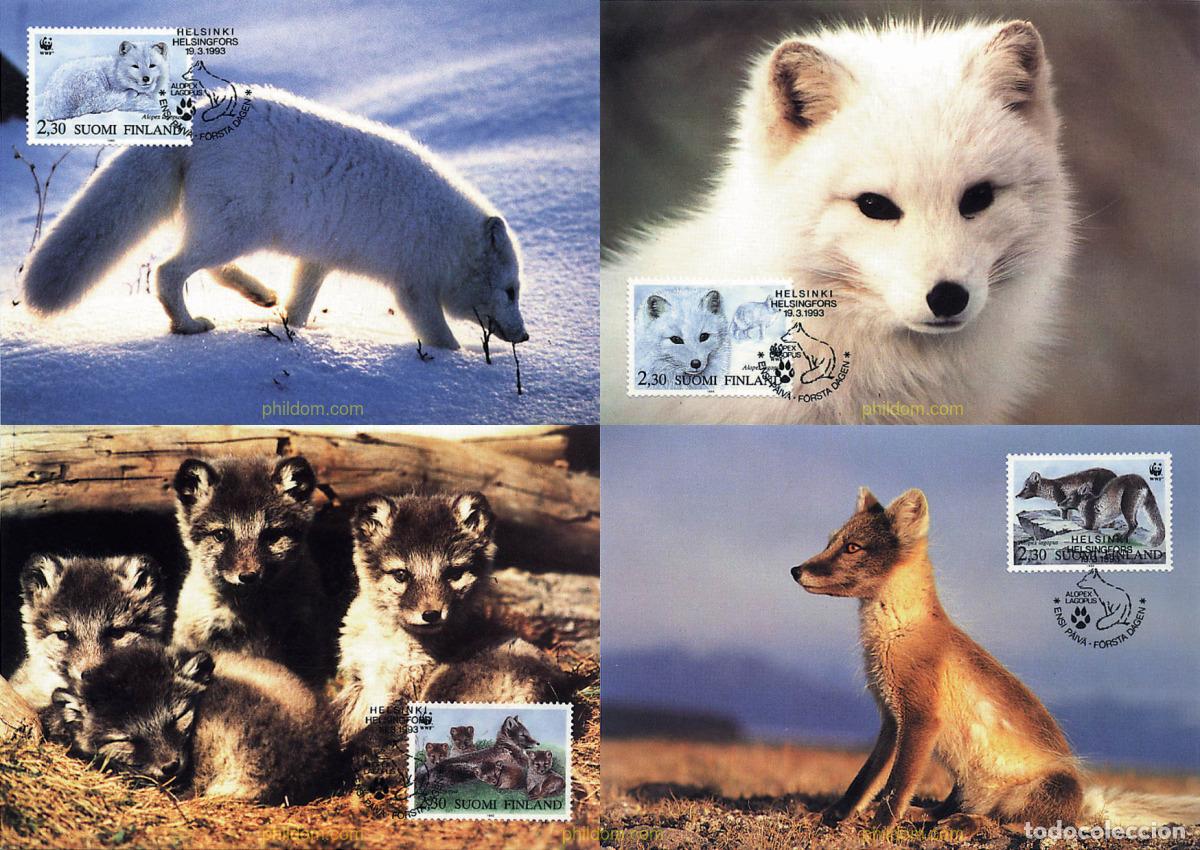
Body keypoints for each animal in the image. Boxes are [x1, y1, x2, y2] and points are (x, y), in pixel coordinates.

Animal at [21, 85, 528, 349]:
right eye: (511, 290)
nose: (524, 336)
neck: (445, 237)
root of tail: (197, 116)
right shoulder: (413, 286)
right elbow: (441, 336)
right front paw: (458, 363)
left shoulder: (318, 257)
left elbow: (301, 302)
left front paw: (295, 329)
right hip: (234, 228)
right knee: (168, 270)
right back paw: (188, 325)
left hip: (228, 229)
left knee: (208, 268)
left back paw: (260, 295)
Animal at [37, 41, 167, 122]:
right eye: (135, 66)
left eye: (152, 65)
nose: (146, 78)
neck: (116, 73)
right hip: (92, 78)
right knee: (95, 104)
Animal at [792, 487, 1200, 830]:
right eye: (830, 543)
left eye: (852, 547)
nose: (795, 570)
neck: (897, 634)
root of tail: (1086, 805)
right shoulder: (892, 721)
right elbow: (864, 783)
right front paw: (832, 817)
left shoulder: (921, 719)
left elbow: (895, 789)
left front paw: (879, 829)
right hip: (963, 784)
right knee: (952, 808)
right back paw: (930, 816)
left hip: (1042, 791)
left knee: (1015, 822)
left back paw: (964, 824)